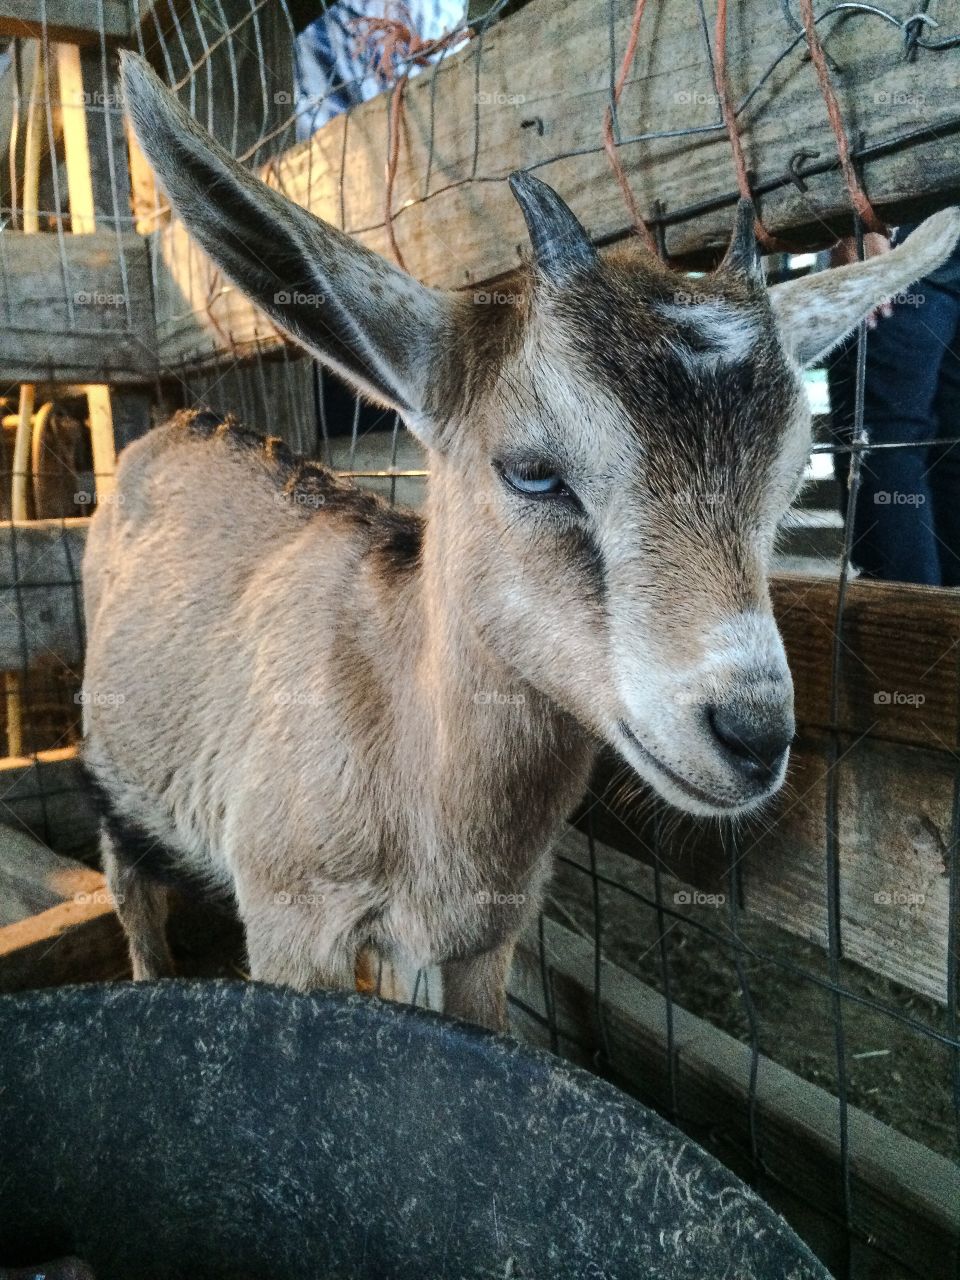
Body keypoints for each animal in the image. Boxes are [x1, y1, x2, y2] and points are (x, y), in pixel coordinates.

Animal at [82, 52, 960, 1030]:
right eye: (533, 471)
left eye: (791, 471)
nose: (754, 734)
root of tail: (172, 425)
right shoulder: (289, 920)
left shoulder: (478, 942)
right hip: (115, 778)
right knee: (129, 885)